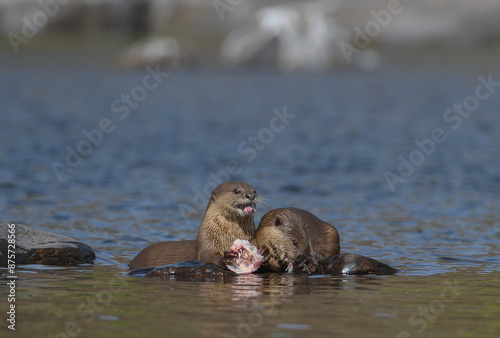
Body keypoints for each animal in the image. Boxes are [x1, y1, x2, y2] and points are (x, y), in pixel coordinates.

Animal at [127, 181, 260, 270]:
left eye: (254, 190)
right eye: (236, 191)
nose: (251, 195)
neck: (229, 235)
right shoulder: (207, 241)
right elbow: (208, 256)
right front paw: (227, 259)